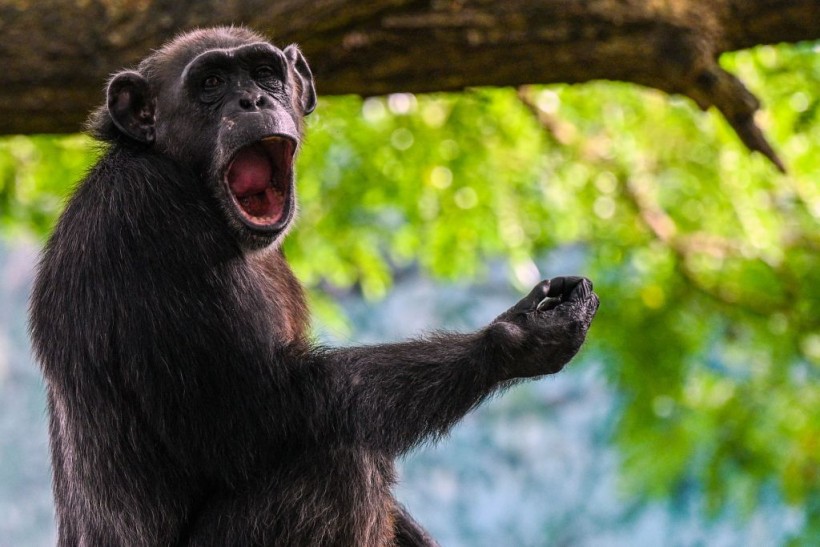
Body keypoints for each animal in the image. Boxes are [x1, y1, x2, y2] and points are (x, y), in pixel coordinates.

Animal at [30, 26, 596, 547]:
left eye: (264, 74)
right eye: (210, 83)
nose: (253, 100)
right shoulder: (146, 217)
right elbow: (250, 420)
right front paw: (515, 336)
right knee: (338, 464)